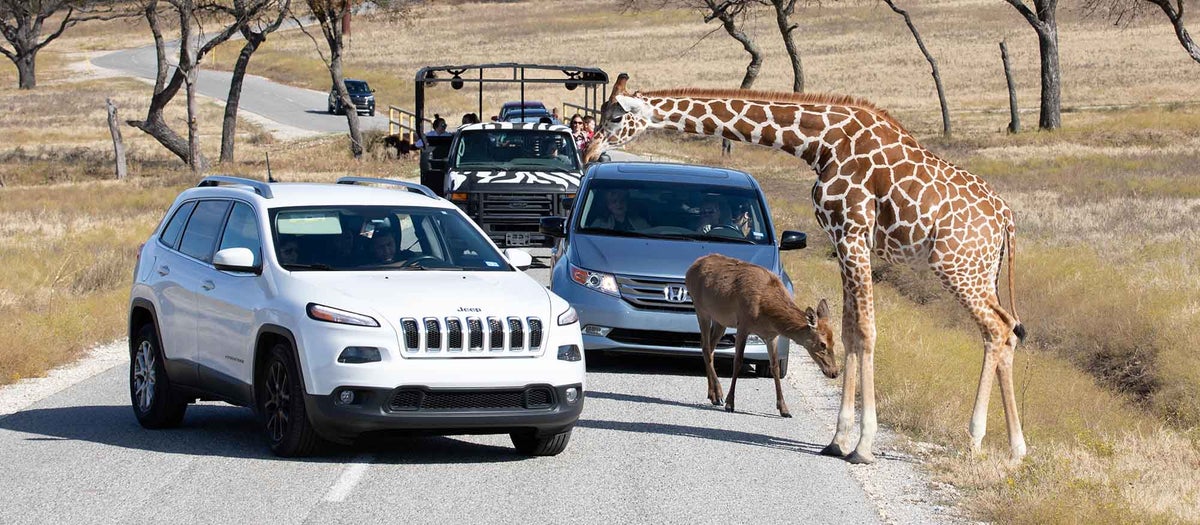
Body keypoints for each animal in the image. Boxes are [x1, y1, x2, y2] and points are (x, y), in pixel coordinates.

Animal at [686, 254, 844, 419]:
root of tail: (690, 269)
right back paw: (719, 395)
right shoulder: (743, 324)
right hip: (701, 309)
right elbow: (738, 361)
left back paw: (713, 395)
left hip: (720, 320)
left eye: (834, 342)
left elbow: (774, 366)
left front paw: (784, 409)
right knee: (705, 347)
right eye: (822, 343)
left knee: (710, 348)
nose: (834, 372)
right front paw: (730, 403)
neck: (766, 312)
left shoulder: (771, 336)